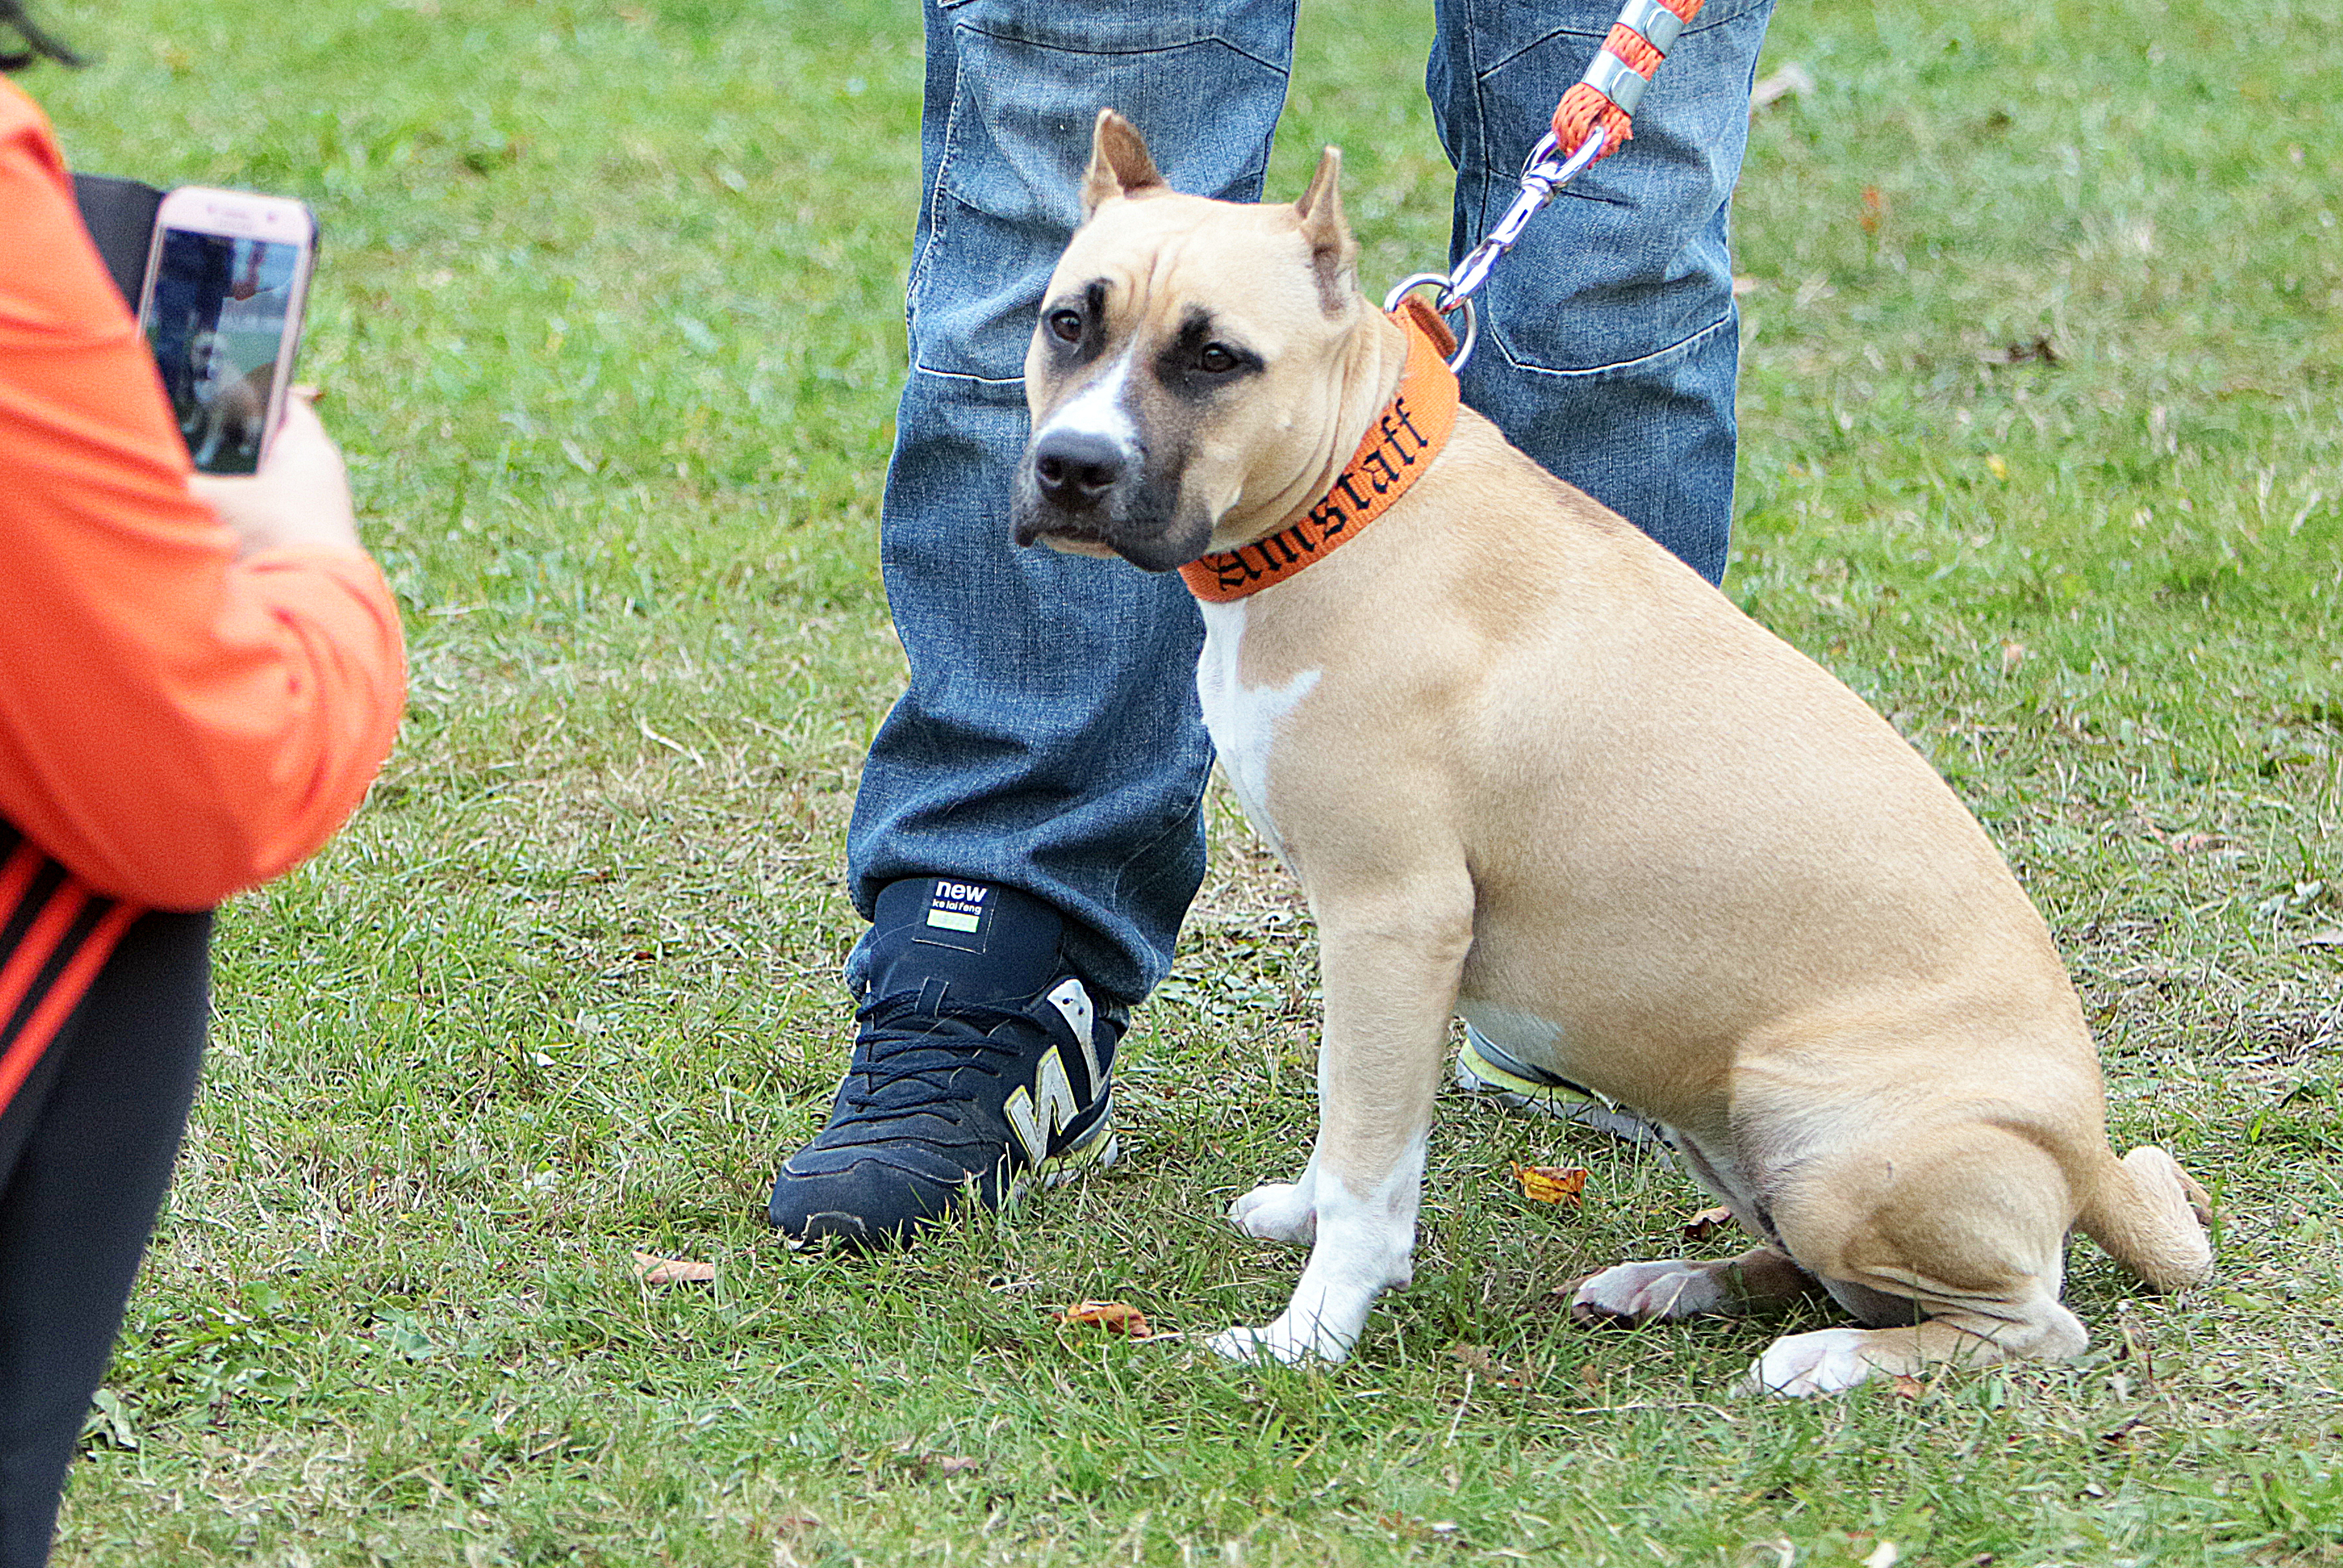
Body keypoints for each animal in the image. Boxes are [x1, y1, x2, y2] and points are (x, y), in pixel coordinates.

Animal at [1012, 113, 2212, 1396]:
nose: (1072, 468)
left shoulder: (1393, 920)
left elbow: (1369, 1163)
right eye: (1068, 322)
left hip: (1822, 1126)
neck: (1344, 509)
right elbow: (1348, 1123)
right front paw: (1298, 1217)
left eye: (1216, 358)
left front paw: (1309, 1335)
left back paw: (1823, 1359)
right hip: (1738, 1132)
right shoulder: (1375, 947)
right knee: (1807, 1264)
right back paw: (1672, 1283)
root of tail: (2088, 1155)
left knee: (2025, 1324)